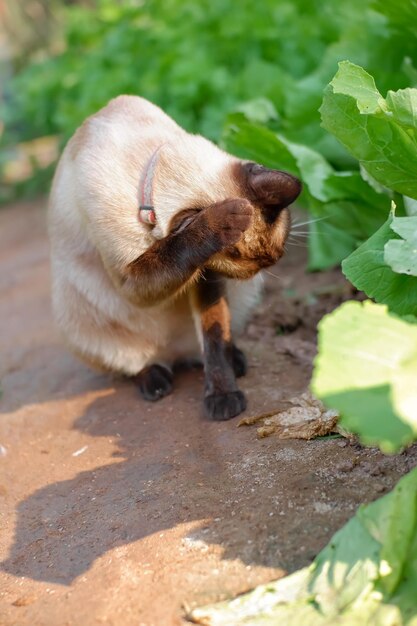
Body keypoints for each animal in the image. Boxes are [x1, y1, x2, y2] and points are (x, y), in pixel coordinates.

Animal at [48, 95, 300, 420]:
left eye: (272, 259)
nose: (257, 272)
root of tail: (176, 354)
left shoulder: (205, 278)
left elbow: (214, 335)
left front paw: (223, 394)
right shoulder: (132, 281)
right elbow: (176, 247)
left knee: (207, 345)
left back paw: (233, 360)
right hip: (79, 319)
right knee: (134, 365)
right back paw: (155, 381)